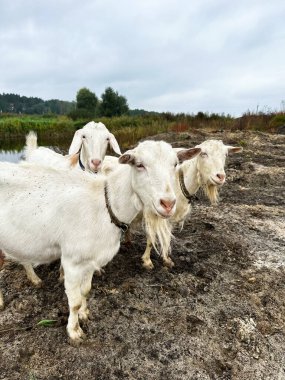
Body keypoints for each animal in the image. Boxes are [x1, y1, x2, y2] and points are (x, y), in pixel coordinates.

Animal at [0, 141, 197, 342]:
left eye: (175, 164)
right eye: (139, 165)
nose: (168, 204)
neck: (105, 205)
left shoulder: (90, 260)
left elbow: (85, 291)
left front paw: (84, 314)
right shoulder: (72, 261)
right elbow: (74, 301)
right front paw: (74, 331)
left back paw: (34, 279)